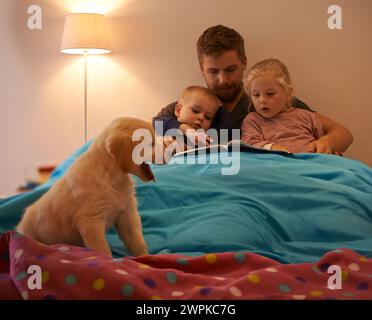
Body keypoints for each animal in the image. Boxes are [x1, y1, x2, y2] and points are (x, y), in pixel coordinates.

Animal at [15, 117, 155, 258]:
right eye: (150, 144)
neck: (112, 174)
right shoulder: (91, 221)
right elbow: (103, 249)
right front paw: (109, 260)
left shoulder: (126, 213)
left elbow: (137, 241)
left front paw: (144, 257)